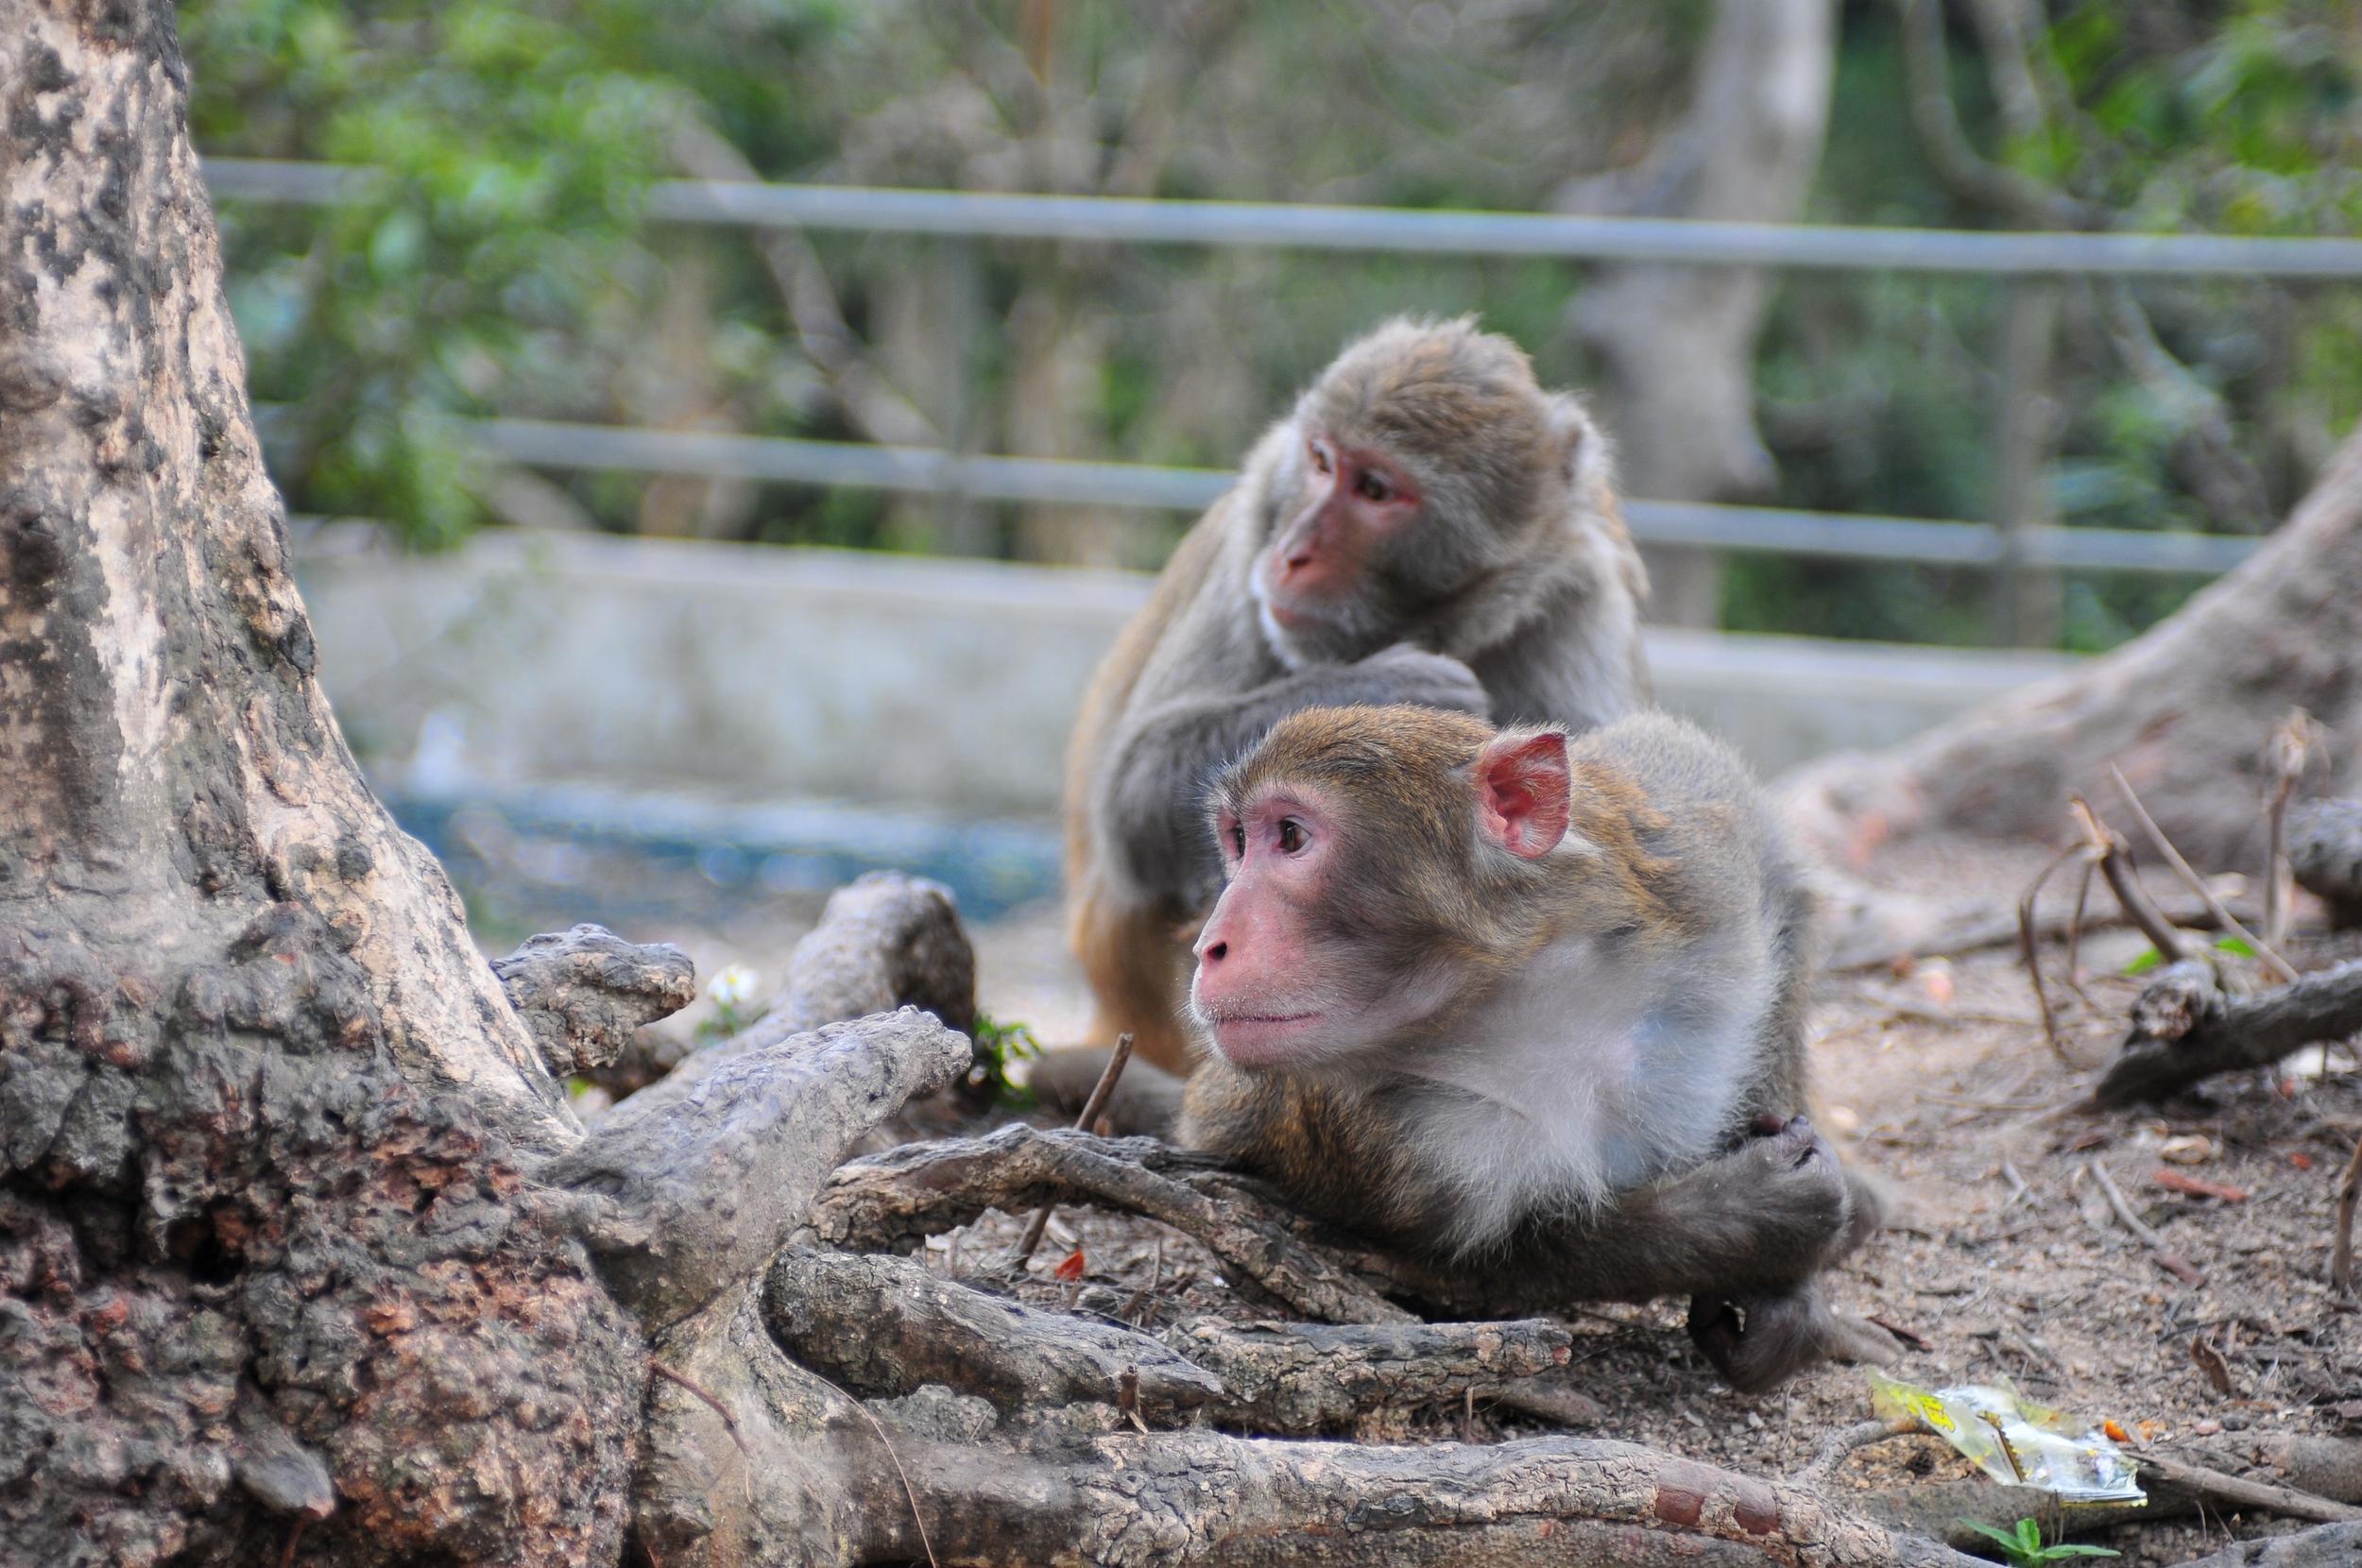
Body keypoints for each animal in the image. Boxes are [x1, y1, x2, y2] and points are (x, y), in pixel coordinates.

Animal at [1057, 317, 1650, 1080]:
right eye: (1319, 461)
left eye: (1374, 488)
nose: (1292, 552)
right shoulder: (1248, 536)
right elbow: (1132, 789)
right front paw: (1392, 687)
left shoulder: (1578, 603)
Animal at [1170, 703, 1899, 1393]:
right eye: (1239, 841)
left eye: (1289, 836)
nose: (1209, 945)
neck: (1518, 994)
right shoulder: (1399, 1139)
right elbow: (1480, 1273)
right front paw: (1760, 1218)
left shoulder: (1692, 864)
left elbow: (1779, 877)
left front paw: (1793, 1292)